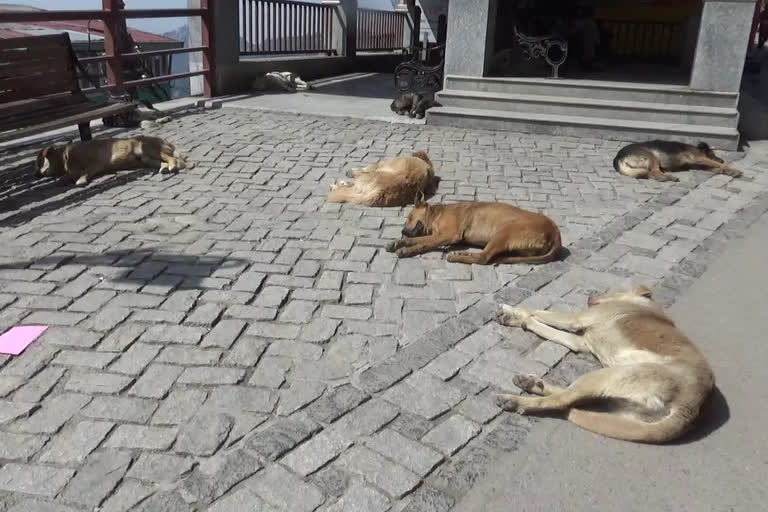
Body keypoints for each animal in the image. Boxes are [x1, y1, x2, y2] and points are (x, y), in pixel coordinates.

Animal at [36, 136, 187, 186]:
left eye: (39, 162)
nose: (35, 175)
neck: (65, 156)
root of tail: (166, 142)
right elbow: (67, 175)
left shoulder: (94, 165)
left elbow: (82, 172)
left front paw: (79, 180)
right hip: (147, 159)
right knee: (164, 162)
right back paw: (165, 168)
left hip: (149, 149)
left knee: (174, 159)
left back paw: (173, 166)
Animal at [388, 199, 560, 266]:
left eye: (409, 217)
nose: (402, 230)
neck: (437, 214)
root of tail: (556, 233)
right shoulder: (436, 234)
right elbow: (417, 240)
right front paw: (398, 242)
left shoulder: (447, 235)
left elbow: (422, 244)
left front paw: (406, 250)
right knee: (485, 255)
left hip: (504, 232)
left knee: (483, 258)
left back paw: (456, 257)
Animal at [496, 284, 716, 444]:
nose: (590, 297)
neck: (644, 305)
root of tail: (691, 407)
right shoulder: (578, 342)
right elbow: (541, 325)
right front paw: (520, 321)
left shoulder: (575, 318)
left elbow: (537, 311)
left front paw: (511, 310)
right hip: (618, 402)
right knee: (570, 397)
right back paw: (531, 383)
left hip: (608, 376)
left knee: (562, 400)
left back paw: (516, 401)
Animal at [608, 139, 740, 183]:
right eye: (713, 154)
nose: (722, 160)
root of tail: (617, 157)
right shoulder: (699, 158)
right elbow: (714, 163)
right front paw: (732, 169)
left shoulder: (699, 164)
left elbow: (716, 168)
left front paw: (728, 171)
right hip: (652, 157)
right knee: (655, 173)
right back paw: (668, 177)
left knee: (651, 174)